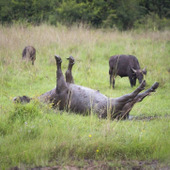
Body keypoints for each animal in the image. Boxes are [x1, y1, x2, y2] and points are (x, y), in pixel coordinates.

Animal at [13, 55, 158, 119]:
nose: (15, 98)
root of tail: (124, 114)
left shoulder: (67, 83)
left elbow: (68, 73)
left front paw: (70, 61)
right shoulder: (61, 88)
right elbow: (60, 73)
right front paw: (59, 61)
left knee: (136, 98)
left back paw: (152, 87)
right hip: (114, 103)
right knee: (132, 96)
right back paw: (144, 86)